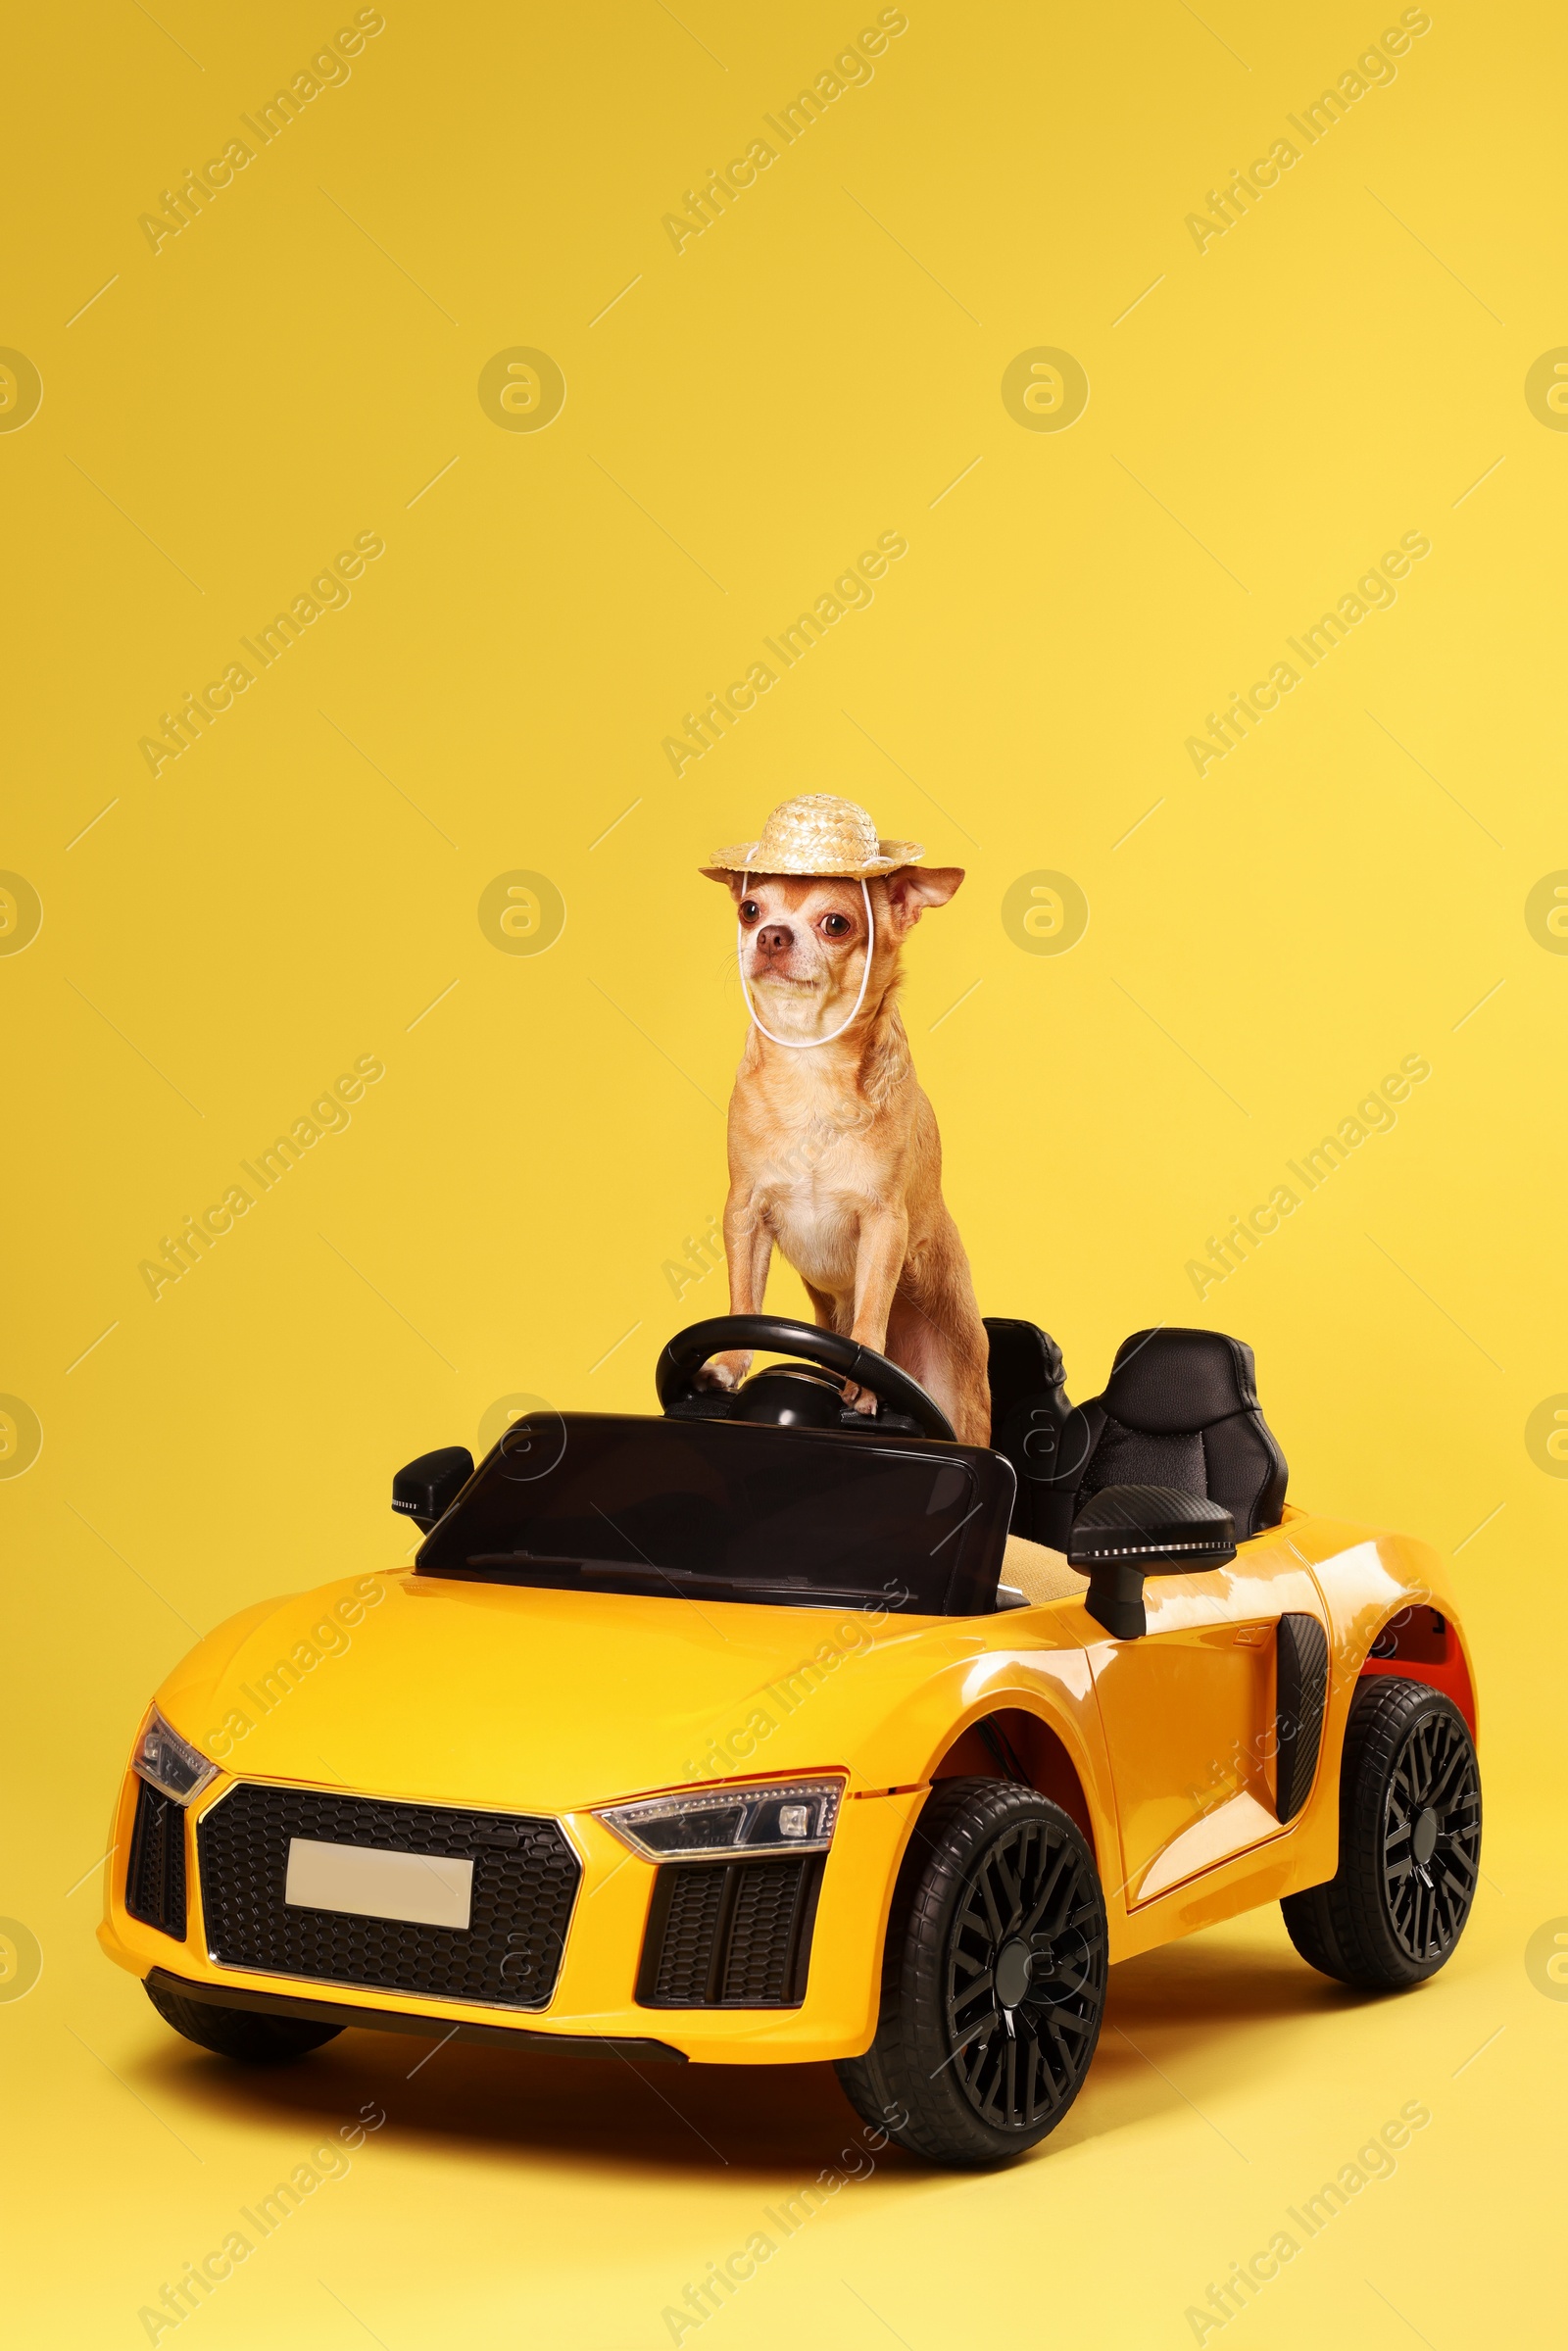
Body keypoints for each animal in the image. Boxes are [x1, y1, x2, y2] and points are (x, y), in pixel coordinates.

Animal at [700, 799, 992, 1439]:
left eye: (836, 924)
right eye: (749, 910)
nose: (771, 934)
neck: (810, 1061)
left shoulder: (884, 1223)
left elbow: (872, 1307)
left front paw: (865, 1383)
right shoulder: (745, 1213)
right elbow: (742, 1297)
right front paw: (729, 1361)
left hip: (960, 1399)